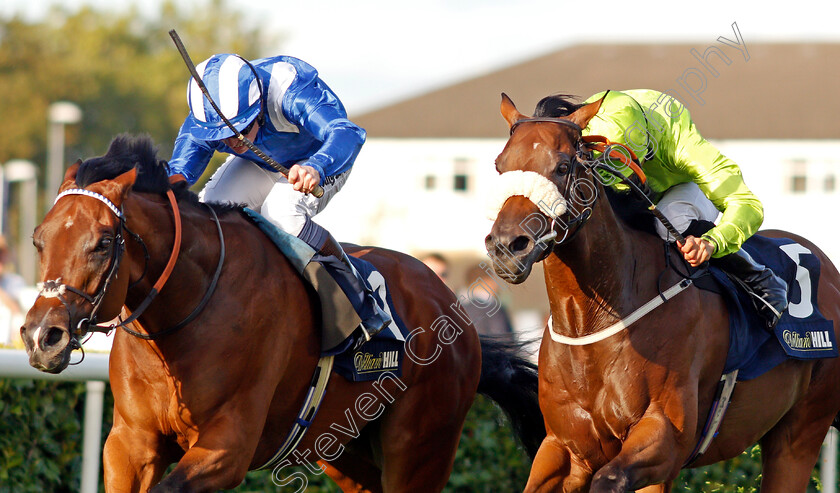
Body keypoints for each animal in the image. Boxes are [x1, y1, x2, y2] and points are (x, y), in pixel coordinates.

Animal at [21, 133, 544, 490]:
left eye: (102, 242)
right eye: (38, 239)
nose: (42, 336)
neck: (183, 317)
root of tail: (453, 309)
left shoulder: (229, 444)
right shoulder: (130, 442)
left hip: (419, 447)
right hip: (345, 445)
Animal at [482, 94, 840, 490]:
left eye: (561, 167)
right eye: (499, 167)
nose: (507, 246)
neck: (591, 321)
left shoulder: (664, 439)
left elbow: (609, 479)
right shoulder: (563, 444)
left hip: (799, 433)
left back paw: (769, 288)